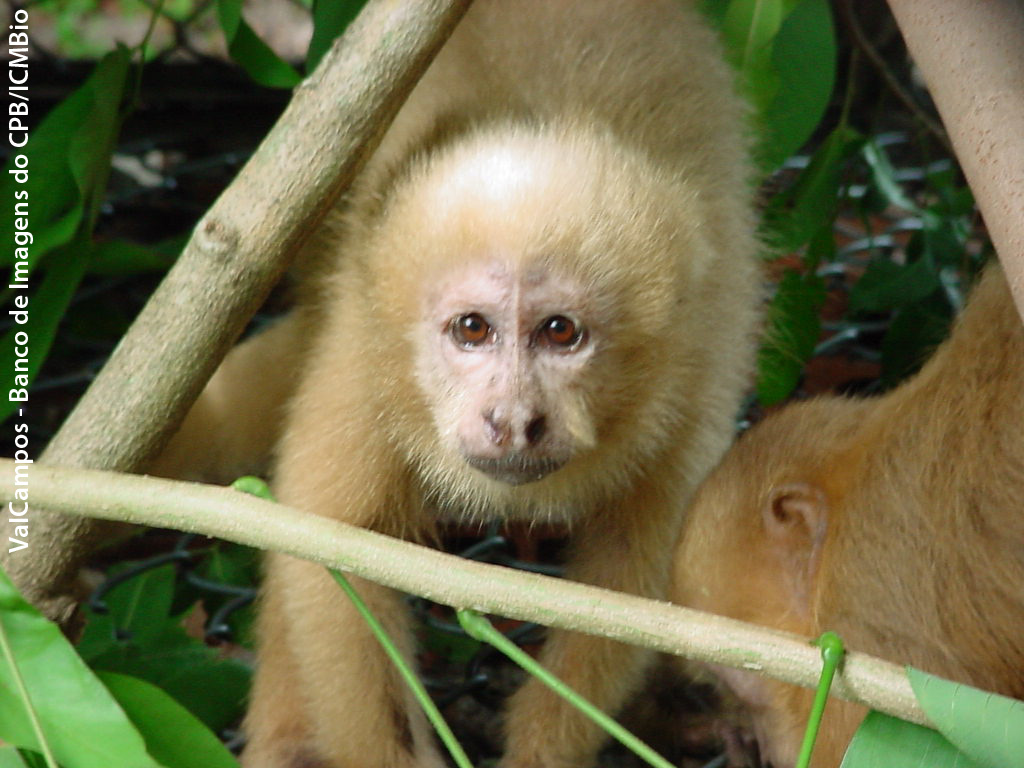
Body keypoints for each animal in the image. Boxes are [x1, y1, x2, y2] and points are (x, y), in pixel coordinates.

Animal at [151, 1, 761, 768]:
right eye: (472, 329)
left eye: (561, 333)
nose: (513, 419)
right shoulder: (367, 351)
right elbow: (332, 552)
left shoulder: (696, 368)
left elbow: (630, 592)